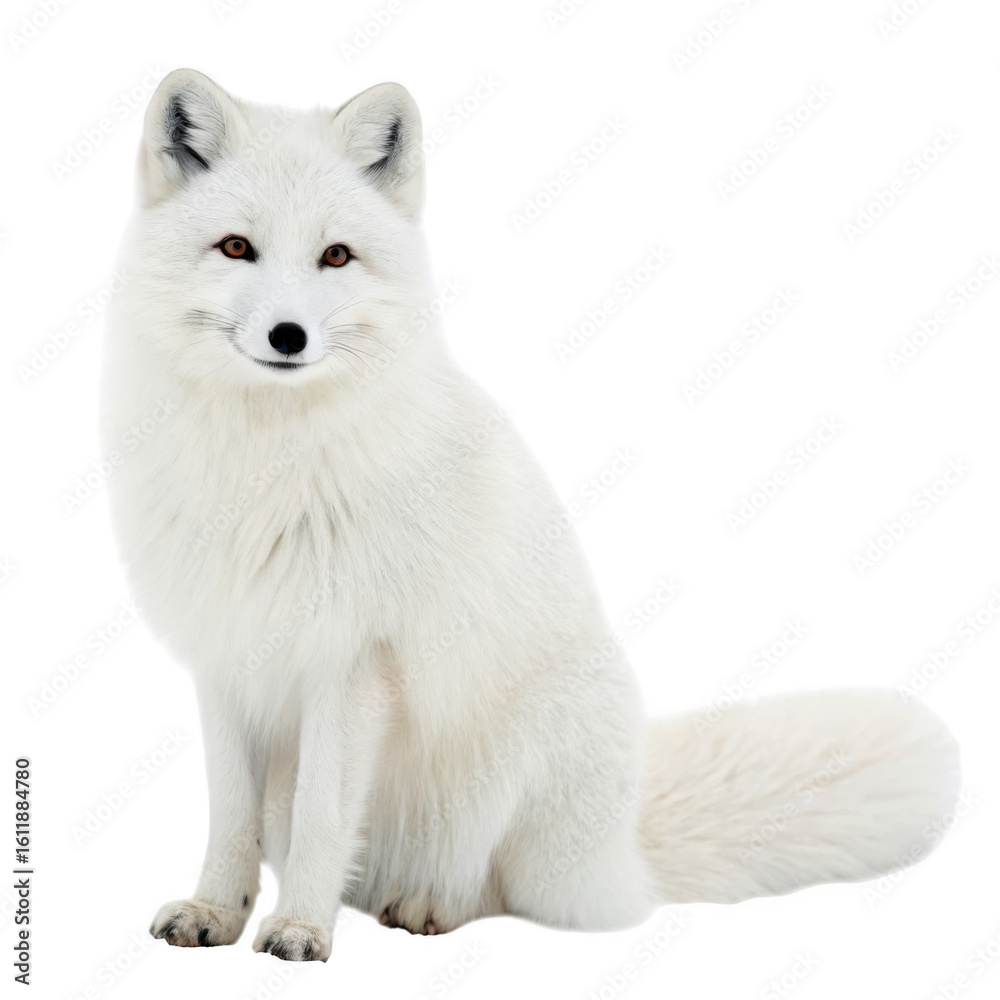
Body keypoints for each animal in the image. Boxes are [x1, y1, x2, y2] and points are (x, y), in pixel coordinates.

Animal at [101, 68, 961, 963]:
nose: (288, 335)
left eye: (335, 255)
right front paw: (216, 911)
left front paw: (301, 927)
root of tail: (626, 851)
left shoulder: (352, 661)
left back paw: (428, 906)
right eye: (236, 247)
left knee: (497, 890)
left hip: (516, 772)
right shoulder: (226, 657)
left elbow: (324, 818)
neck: (265, 464)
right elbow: (227, 818)